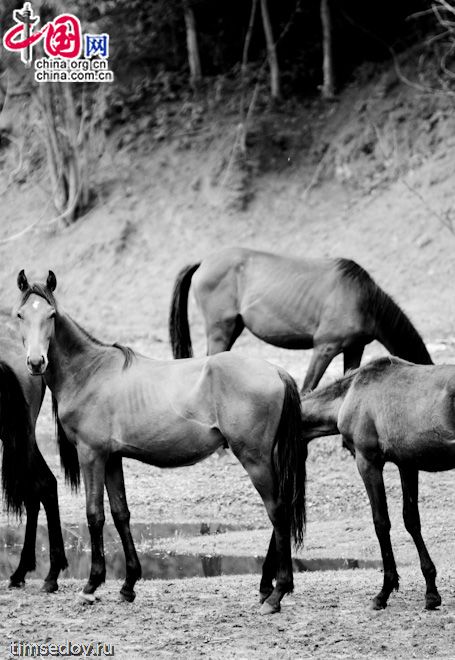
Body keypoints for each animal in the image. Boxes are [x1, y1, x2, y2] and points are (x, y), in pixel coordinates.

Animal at [15, 270, 306, 612]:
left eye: (51, 315)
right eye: (20, 315)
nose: (36, 362)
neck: (90, 373)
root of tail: (275, 370)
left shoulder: (91, 454)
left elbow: (94, 515)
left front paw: (91, 585)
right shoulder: (112, 458)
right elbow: (121, 514)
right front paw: (128, 585)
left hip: (255, 459)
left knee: (277, 512)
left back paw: (276, 593)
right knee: (280, 512)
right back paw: (267, 587)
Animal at [169, 248, 432, 392]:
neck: (361, 299)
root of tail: (203, 263)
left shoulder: (354, 349)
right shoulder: (324, 349)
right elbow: (308, 388)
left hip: (232, 329)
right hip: (220, 331)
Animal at [300, 358, 455, 612]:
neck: (350, 394)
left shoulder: (368, 462)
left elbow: (381, 522)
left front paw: (384, 591)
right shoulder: (407, 464)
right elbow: (411, 520)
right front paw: (431, 591)